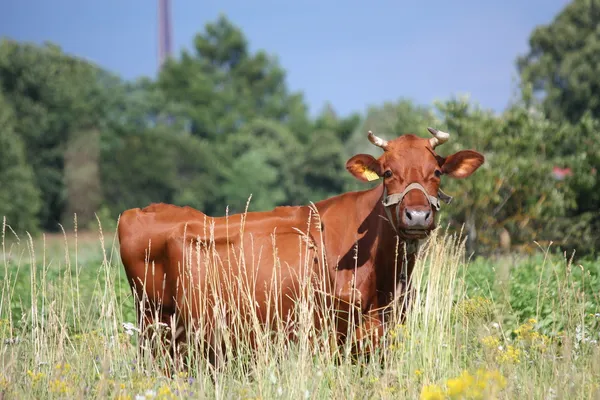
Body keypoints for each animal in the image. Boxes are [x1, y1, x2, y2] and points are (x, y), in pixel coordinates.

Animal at [118, 127, 488, 368]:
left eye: (437, 171)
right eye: (386, 172)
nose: (417, 214)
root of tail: (140, 211)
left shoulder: (381, 331)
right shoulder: (326, 333)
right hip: (156, 326)